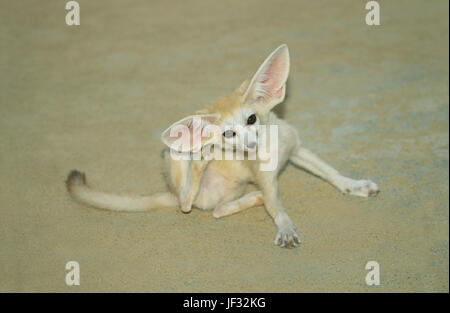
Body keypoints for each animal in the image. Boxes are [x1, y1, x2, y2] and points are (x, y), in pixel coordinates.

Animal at [65, 45, 378, 247]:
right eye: (228, 134)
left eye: (252, 119)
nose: (250, 145)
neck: (270, 152)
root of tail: (167, 192)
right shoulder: (267, 181)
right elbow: (278, 210)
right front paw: (286, 228)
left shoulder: (297, 149)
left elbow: (331, 173)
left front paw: (354, 185)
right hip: (175, 156)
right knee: (186, 202)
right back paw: (201, 161)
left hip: (229, 192)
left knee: (215, 210)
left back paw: (251, 198)